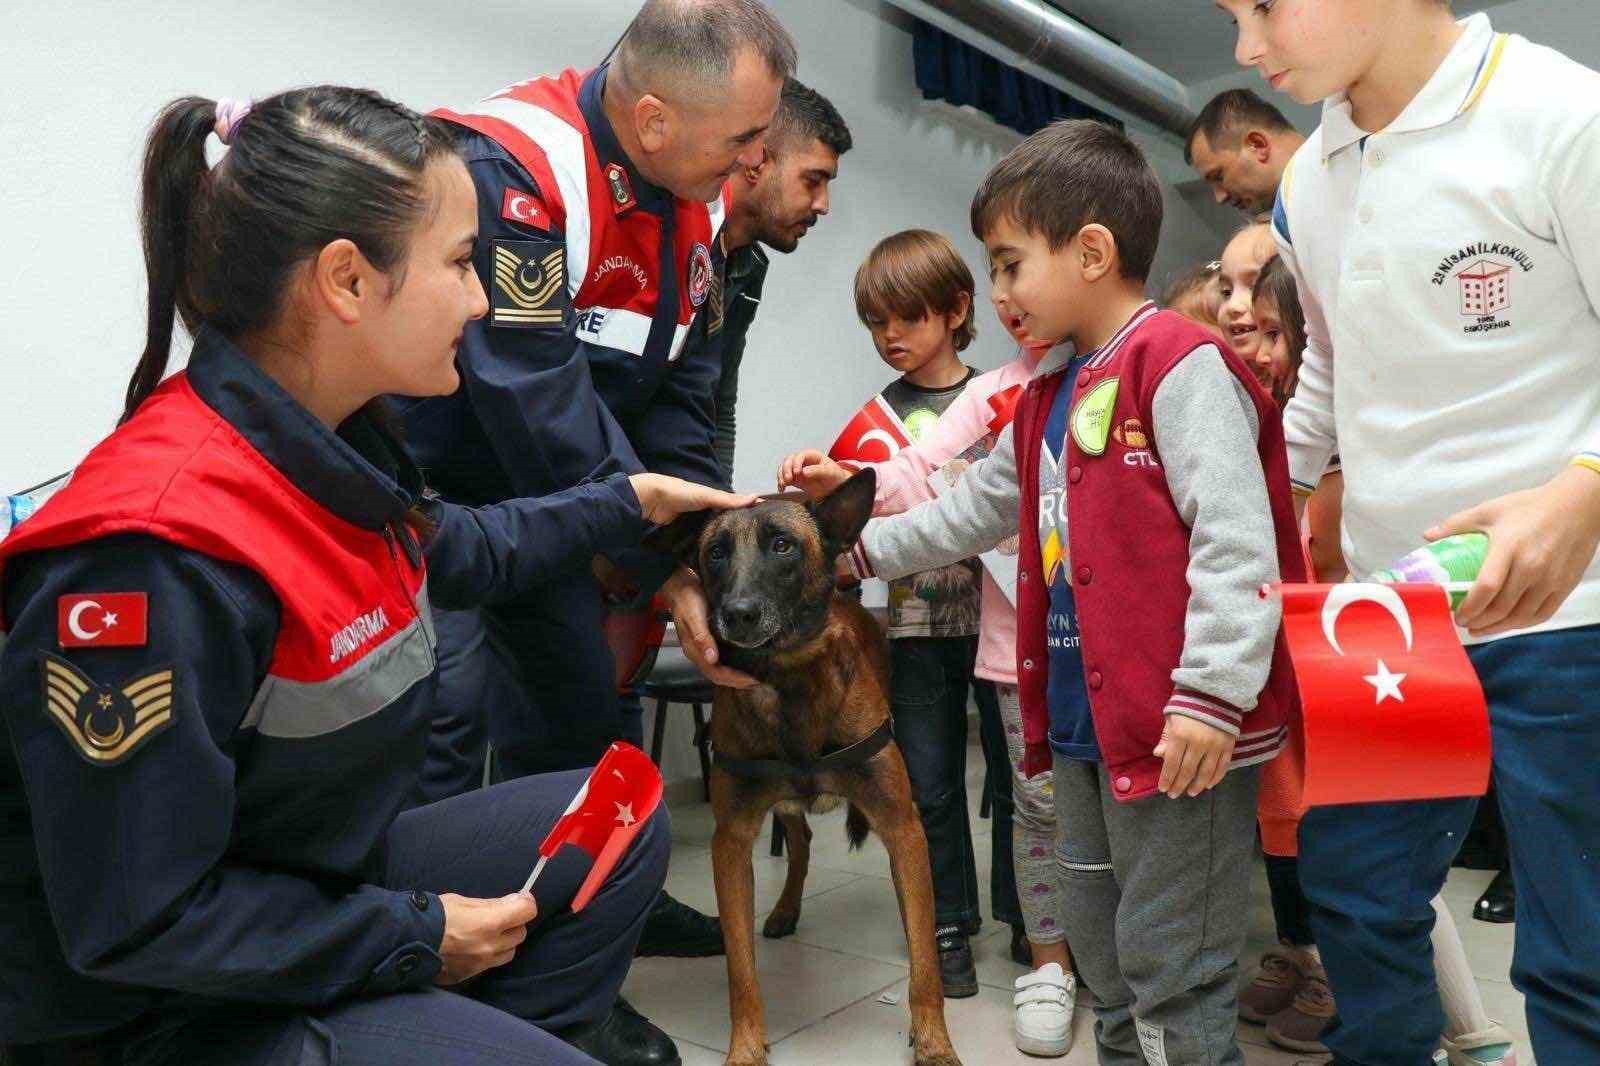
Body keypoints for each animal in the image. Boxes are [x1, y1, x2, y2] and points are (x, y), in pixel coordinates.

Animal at [652, 470, 960, 1062]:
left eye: (782, 546)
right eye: (715, 553)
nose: (738, 614)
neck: (788, 677)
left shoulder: (903, 826)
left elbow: (924, 965)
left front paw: (934, 1042)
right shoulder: (731, 841)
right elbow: (741, 972)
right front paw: (746, 1047)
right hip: (785, 806)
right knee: (800, 845)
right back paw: (785, 909)